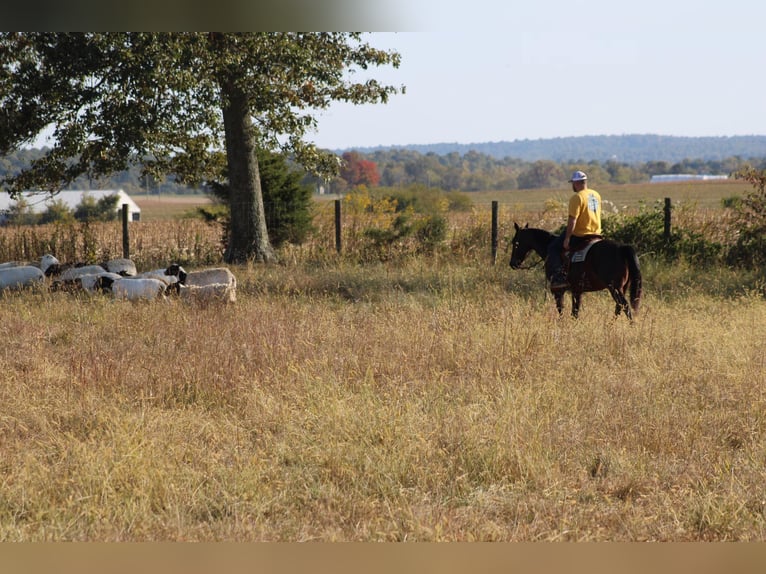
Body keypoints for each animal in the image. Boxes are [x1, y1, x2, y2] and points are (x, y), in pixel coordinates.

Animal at [512, 224, 644, 322]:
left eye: (515, 243)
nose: (512, 263)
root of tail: (622, 248)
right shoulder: (577, 290)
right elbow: (575, 312)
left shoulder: (558, 290)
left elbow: (561, 309)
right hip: (622, 287)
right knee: (619, 307)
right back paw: (610, 325)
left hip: (614, 288)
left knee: (624, 306)